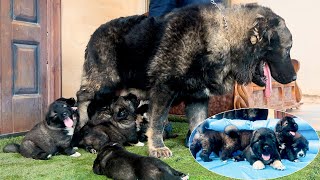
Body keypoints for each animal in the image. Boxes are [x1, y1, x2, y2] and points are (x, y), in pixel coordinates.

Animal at [76, 3, 296, 158]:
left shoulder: (198, 97)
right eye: (287, 49)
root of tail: (94, 33)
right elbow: (157, 121)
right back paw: (81, 123)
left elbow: (199, 121)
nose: (294, 77)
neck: (225, 37)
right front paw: (157, 147)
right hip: (104, 83)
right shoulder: (163, 91)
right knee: (83, 97)